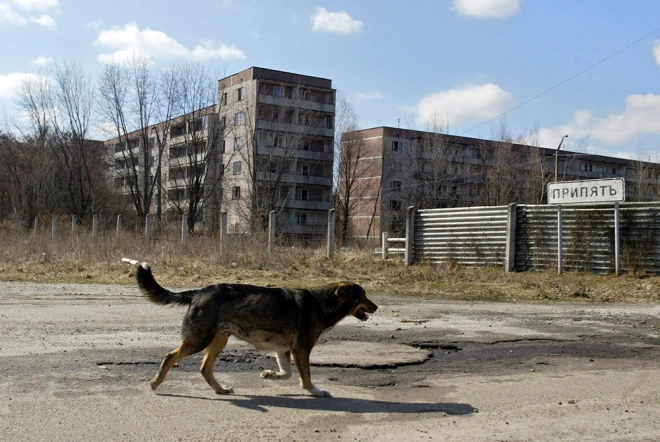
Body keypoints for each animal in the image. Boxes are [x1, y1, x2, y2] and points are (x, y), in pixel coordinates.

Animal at [135, 262, 376, 398]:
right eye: (363, 297)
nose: (377, 307)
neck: (322, 303)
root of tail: (199, 291)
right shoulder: (301, 350)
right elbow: (305, 376)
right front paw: (315, 391)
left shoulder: (283, 350)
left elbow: (287, 373)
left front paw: (270, 375)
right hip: (199, 341)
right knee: (170, 357)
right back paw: (155, 383)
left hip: (218, 341)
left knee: (205, 368)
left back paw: (221, 390)